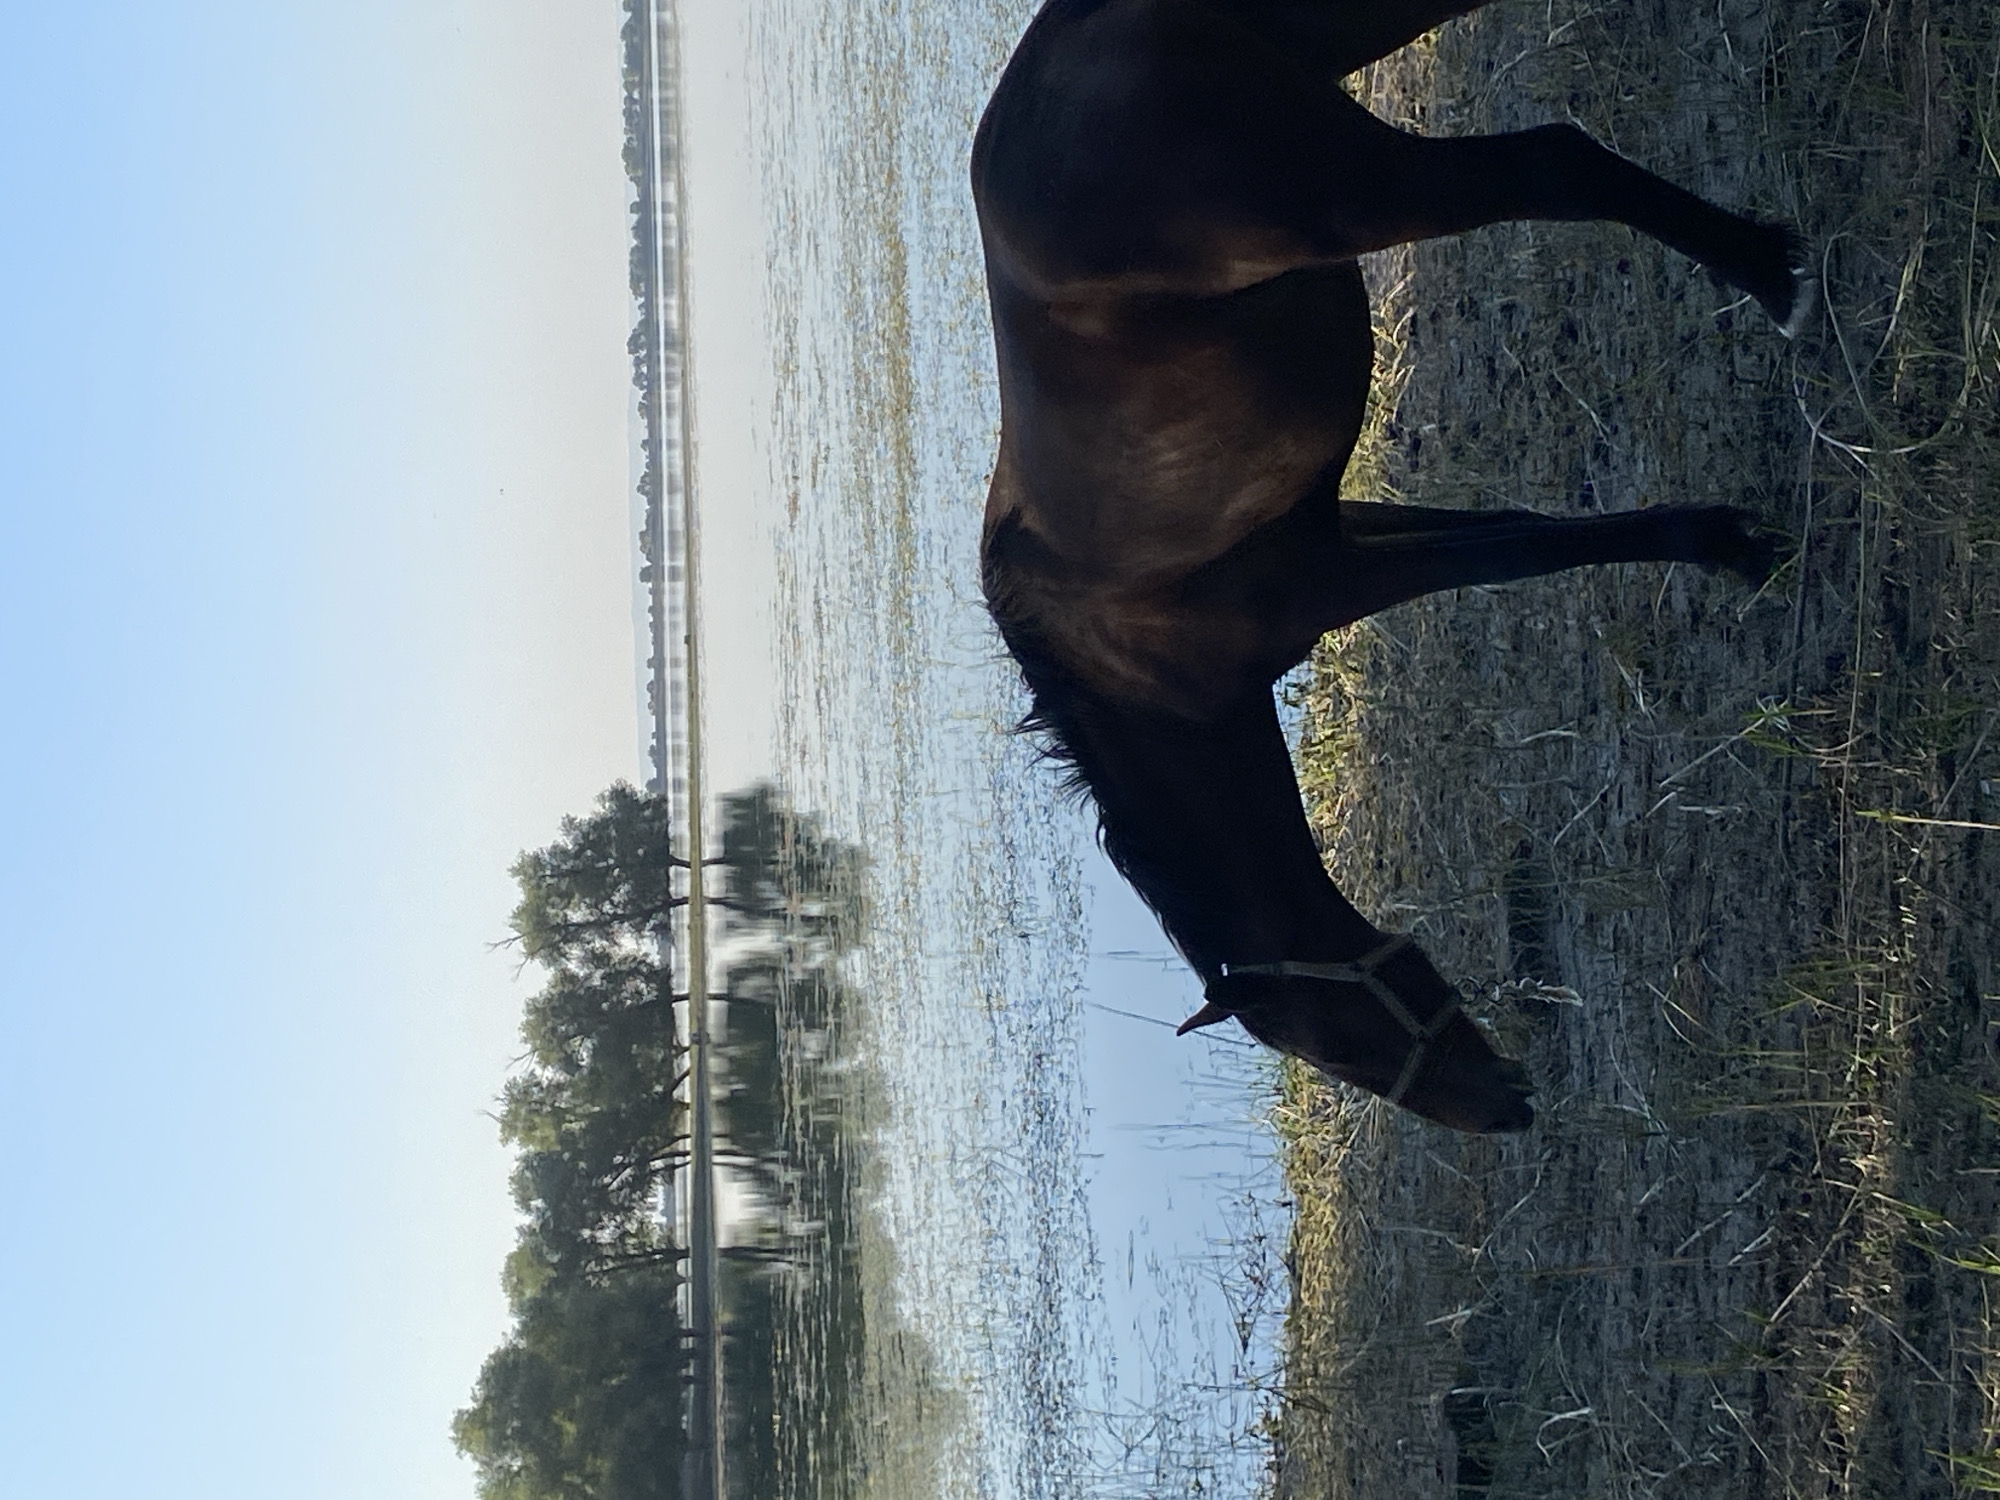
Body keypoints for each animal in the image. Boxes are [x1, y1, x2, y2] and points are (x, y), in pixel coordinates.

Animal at [973, 0, 1808, 1132]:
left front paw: (1724, 547)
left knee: (1554, 164)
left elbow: (1523, 549)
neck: (1122, 663)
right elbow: (1513, 523)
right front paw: (1720, 535)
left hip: (1361, 189)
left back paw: (1767, 271)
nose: (1503, 1110)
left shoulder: (1327, 580)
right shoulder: (1345, 528)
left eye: (1336, 1040)